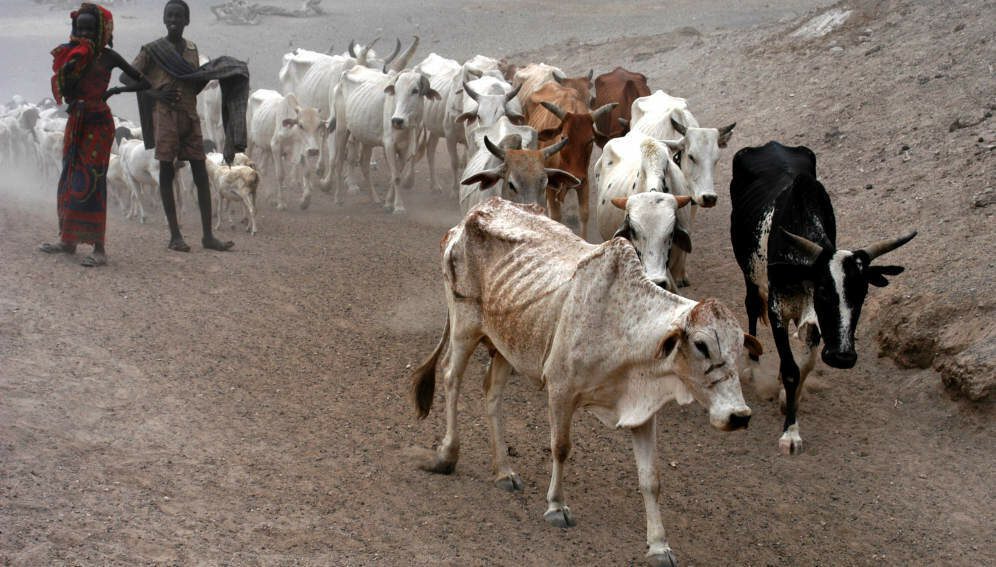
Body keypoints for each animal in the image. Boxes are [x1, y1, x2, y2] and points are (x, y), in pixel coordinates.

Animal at [330, 36, 440, 213]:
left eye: (415, 91)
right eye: (396, 90)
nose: (396, 121)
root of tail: (346, 73)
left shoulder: (405, 149)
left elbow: (397, 174)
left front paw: (388, 203)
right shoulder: (389, 144)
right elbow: (396, 176)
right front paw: (399, 207)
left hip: (366, 138)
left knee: (364, 165)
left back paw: (374, 198)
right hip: (342, 129)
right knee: (339, 161)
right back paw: (338, 198)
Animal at [410, 197, 760, 567]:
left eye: (739, 349)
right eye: (702, 345)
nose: (739, 416)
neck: (622, 323)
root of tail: (470, 217)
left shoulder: (642, 410)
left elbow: (651, 479)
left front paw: (659, 545)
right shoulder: (560, 390)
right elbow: (561, 448)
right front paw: (556, 506)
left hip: (508, 345)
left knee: (492, 393)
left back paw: (504, 471)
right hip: (464, 327)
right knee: (451, 378)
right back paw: (447, 454)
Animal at [527, 82, 615, 238]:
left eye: (590, 140)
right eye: (563, 137)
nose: (575, 176)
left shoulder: (583, 181)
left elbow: (584, 214)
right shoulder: (551, 185)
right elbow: (556, 217)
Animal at [730, 141, 916, 455]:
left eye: (862, 294)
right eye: (824, 291)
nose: (842, 356)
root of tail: (770, 145)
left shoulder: (813, 319)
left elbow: (804, 366)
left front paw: (788, 400)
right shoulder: (779, 310)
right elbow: (791, 368)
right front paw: (790, 433)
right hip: (749, 273)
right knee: (752, 307)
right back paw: (752, 366)